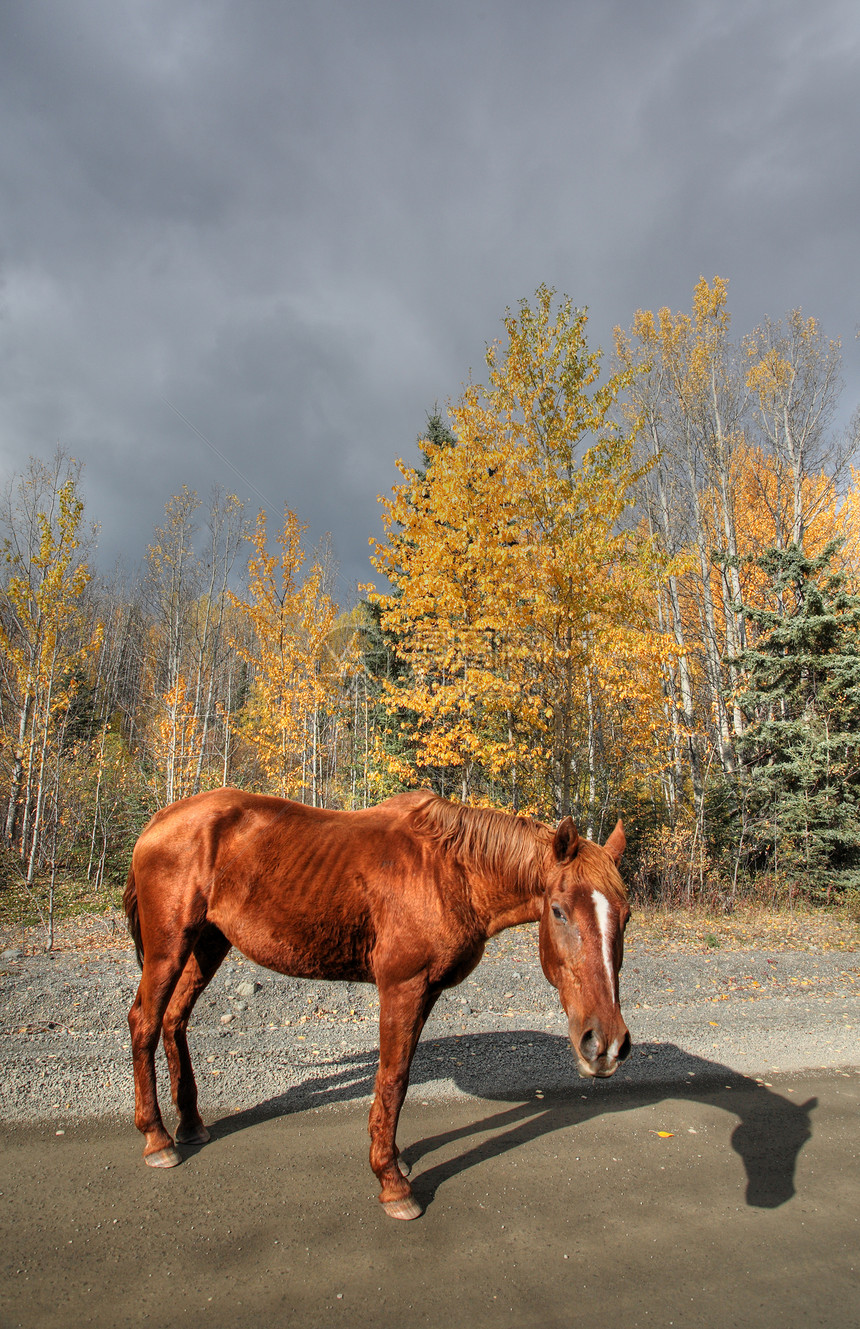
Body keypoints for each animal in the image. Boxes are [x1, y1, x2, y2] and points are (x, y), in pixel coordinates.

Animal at [122, 781, 632, 1217]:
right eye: (559, 911)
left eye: (625, 916)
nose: (605, 1044)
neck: (451, 872)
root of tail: (159, 821)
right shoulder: (402, 987)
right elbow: (393, 1079)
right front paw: (392, 1182)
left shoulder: (426, 992)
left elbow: (397, 1081)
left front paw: (395, 1159)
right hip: (170, 947)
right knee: (144, 1021)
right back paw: (157, 1139)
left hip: (207, 944)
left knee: (173, 1020)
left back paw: (190, 1124)